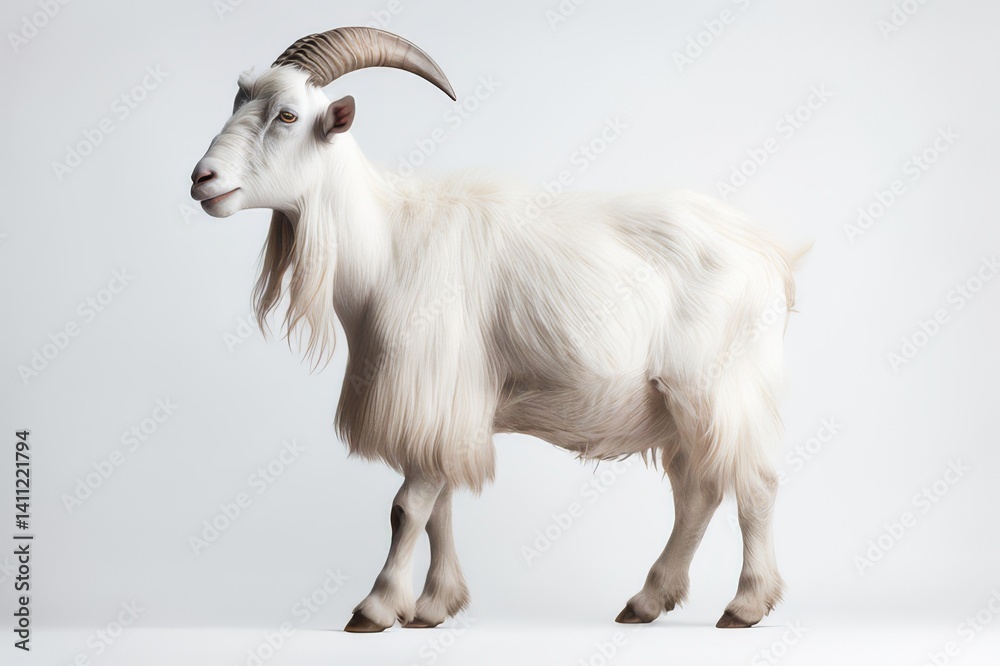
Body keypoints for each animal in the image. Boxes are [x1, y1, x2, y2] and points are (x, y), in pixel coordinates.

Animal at [190, 27, 797, 633]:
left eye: (288, 115)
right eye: (239, 102)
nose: (202, 179)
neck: (387, 244)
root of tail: (770, 256)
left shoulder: (435, 394)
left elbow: (407, 507)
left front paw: (377, 606)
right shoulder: (446, 415)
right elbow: (439, 507)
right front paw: (434, 605)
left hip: (719, 388)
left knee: (755, 486)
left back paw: (746, 604)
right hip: (676, 406)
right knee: (700, 490)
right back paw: (648, 600)